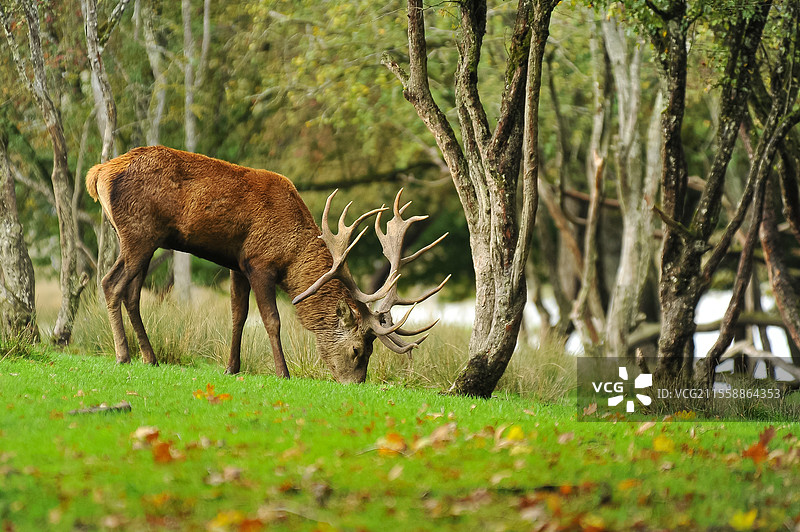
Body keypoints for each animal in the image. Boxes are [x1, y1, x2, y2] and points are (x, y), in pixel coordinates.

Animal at [85, 145, 448, 383]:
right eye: (359, 349)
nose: (356, 383)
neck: (291, 251)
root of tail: (98, 173)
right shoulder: (259, 262)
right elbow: (271, 320)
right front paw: (283, 372)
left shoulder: (236, 263)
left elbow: (238, 315)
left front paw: (231, 367)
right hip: (139, 232)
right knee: (110, 283)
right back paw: (123, 355)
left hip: (143, 239)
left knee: (132, 293)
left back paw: (150, 357)